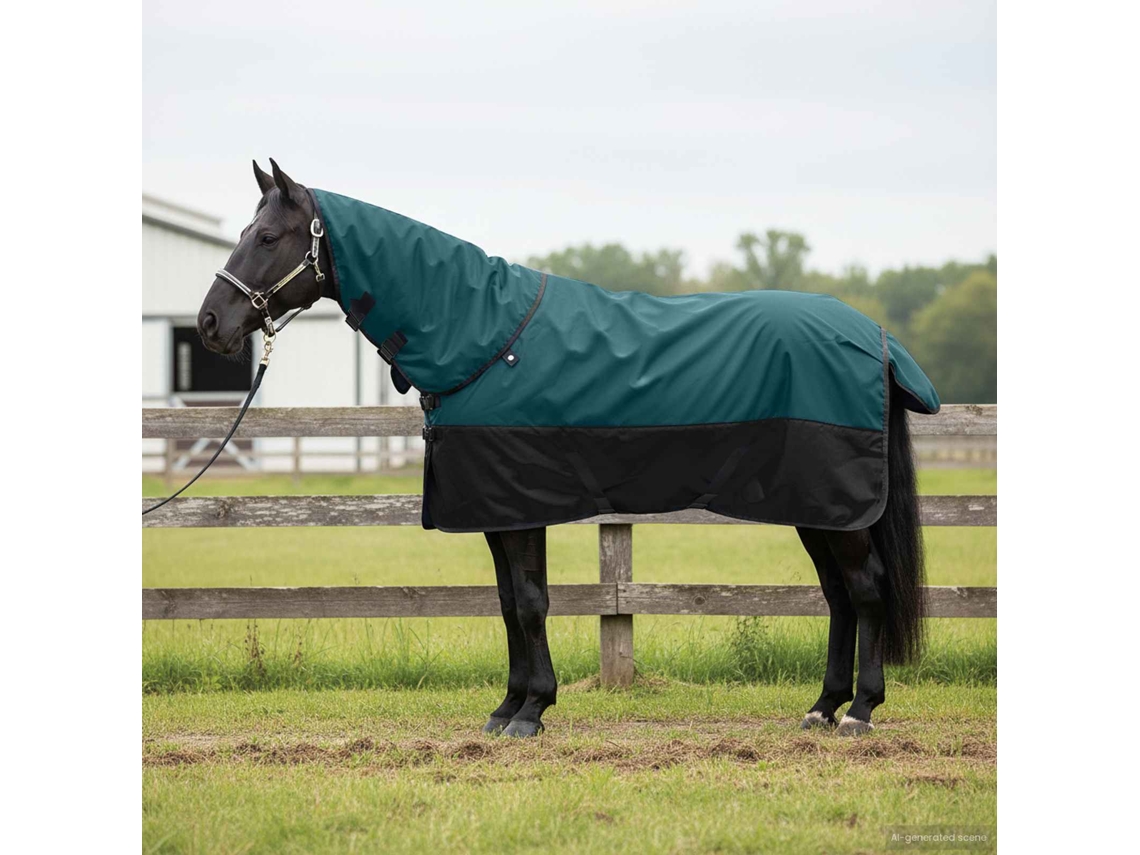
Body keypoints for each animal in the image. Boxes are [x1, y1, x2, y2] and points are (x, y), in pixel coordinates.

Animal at [196, 159, 937, 738]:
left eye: (267, 236)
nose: (210, 323)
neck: (483, 337)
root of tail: (875, 338)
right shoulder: (498, 510)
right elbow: (507, 602)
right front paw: (508, 708)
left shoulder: (519, 505)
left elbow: (529, 601)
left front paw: (531, 712)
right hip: (819, 508)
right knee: (839, 596)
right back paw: (822, 707)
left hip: (836, 506)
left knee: (865, 590)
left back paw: (860, 711)